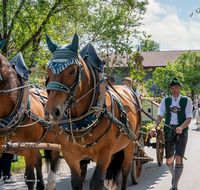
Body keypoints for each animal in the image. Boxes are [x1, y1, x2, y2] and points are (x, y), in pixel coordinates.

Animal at [44, 34, 141, 190]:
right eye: (48, 71)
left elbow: (96, 181)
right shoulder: (69, 155)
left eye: (72, 71)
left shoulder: (105, 154)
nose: (52, 111)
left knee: (126, 170)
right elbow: (76, 181)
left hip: (131, 144)